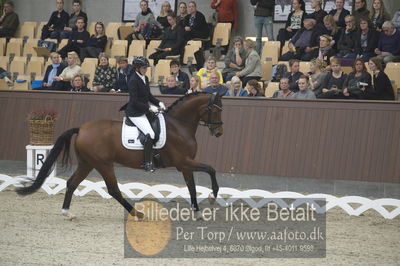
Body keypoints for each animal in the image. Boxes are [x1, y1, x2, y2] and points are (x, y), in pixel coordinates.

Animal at [17, 91, 227, 218]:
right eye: (215, 110)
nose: (219, 133)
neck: (179, 125)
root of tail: (82, 128)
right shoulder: (183, 162)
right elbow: (211, 169)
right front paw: (213, 196)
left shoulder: (185, 165)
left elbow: (192, 187)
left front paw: (197, 212)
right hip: (103, 164)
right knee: (113, 190)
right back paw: (137, 214)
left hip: (87, 163)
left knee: (72, 183)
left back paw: (67, 212)